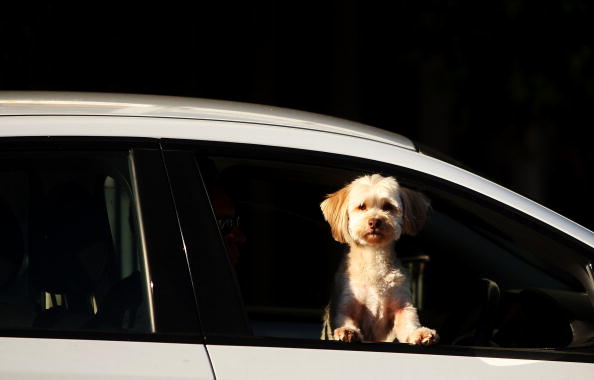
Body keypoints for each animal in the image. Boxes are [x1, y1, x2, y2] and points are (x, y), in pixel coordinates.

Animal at [320, 174, 434, 346]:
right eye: (362, 207)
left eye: (388, 206)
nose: (374, 221)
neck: (373, 256)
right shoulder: (347, 300)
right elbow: (345, 317)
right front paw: (347, 331)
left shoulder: (402, 304)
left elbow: (408, 323)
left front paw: (419, 333)